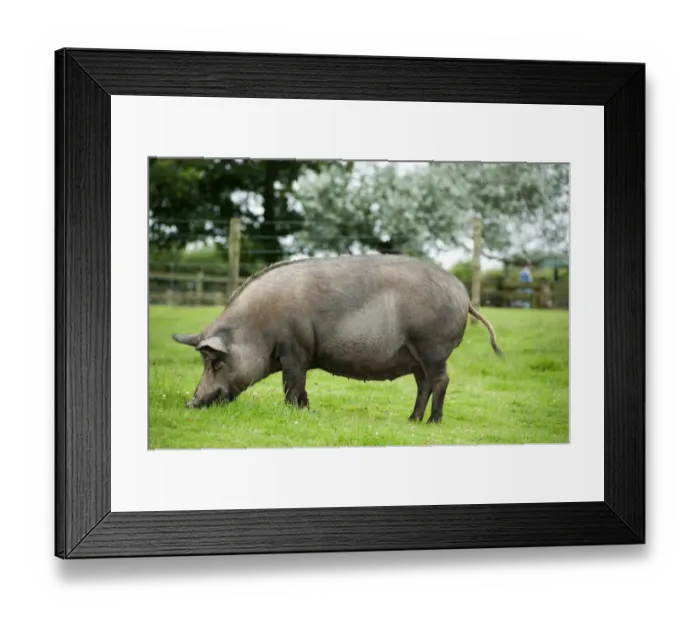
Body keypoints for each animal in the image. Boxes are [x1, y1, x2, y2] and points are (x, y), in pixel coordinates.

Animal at [172, 253, 503, 424]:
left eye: (216, 363)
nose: (191, 403)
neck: (256, 329)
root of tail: (463, 294)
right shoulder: (300, 355)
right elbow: (301, 387)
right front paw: (307, 411)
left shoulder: (295, 350)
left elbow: (292, 384)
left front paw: (293, 412)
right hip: (416, 356)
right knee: (424, 385)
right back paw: (412, 419)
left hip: (433, 347)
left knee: (441, 381)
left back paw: (433, 422)